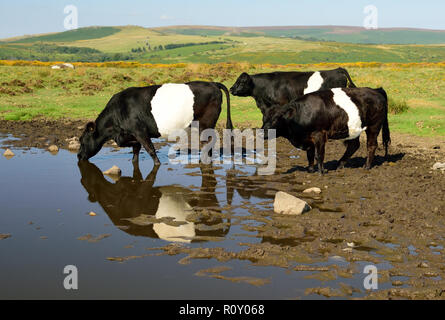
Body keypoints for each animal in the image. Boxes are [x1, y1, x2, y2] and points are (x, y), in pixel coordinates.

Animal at [78, 81, 234, 164]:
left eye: (82, 141)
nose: (78, 156)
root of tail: (212, 83)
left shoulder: (139, 131)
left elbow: (150, 149)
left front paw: (157, 164)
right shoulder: (132, 134)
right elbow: (135, 150)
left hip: (205, 124)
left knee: (208, 142)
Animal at [262, 86, 390, 174]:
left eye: (276, 119)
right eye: (264, 118)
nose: (262, 132)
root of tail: (376, 90)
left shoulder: (319, 134)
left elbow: (319, 154)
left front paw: (321, 172)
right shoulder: (308, 138)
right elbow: (310, 154)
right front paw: (310, 170)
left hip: (374, 126)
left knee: (371, 145)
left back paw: (366, 166)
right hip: (354, 128)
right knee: (354, 145)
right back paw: (340, 165)